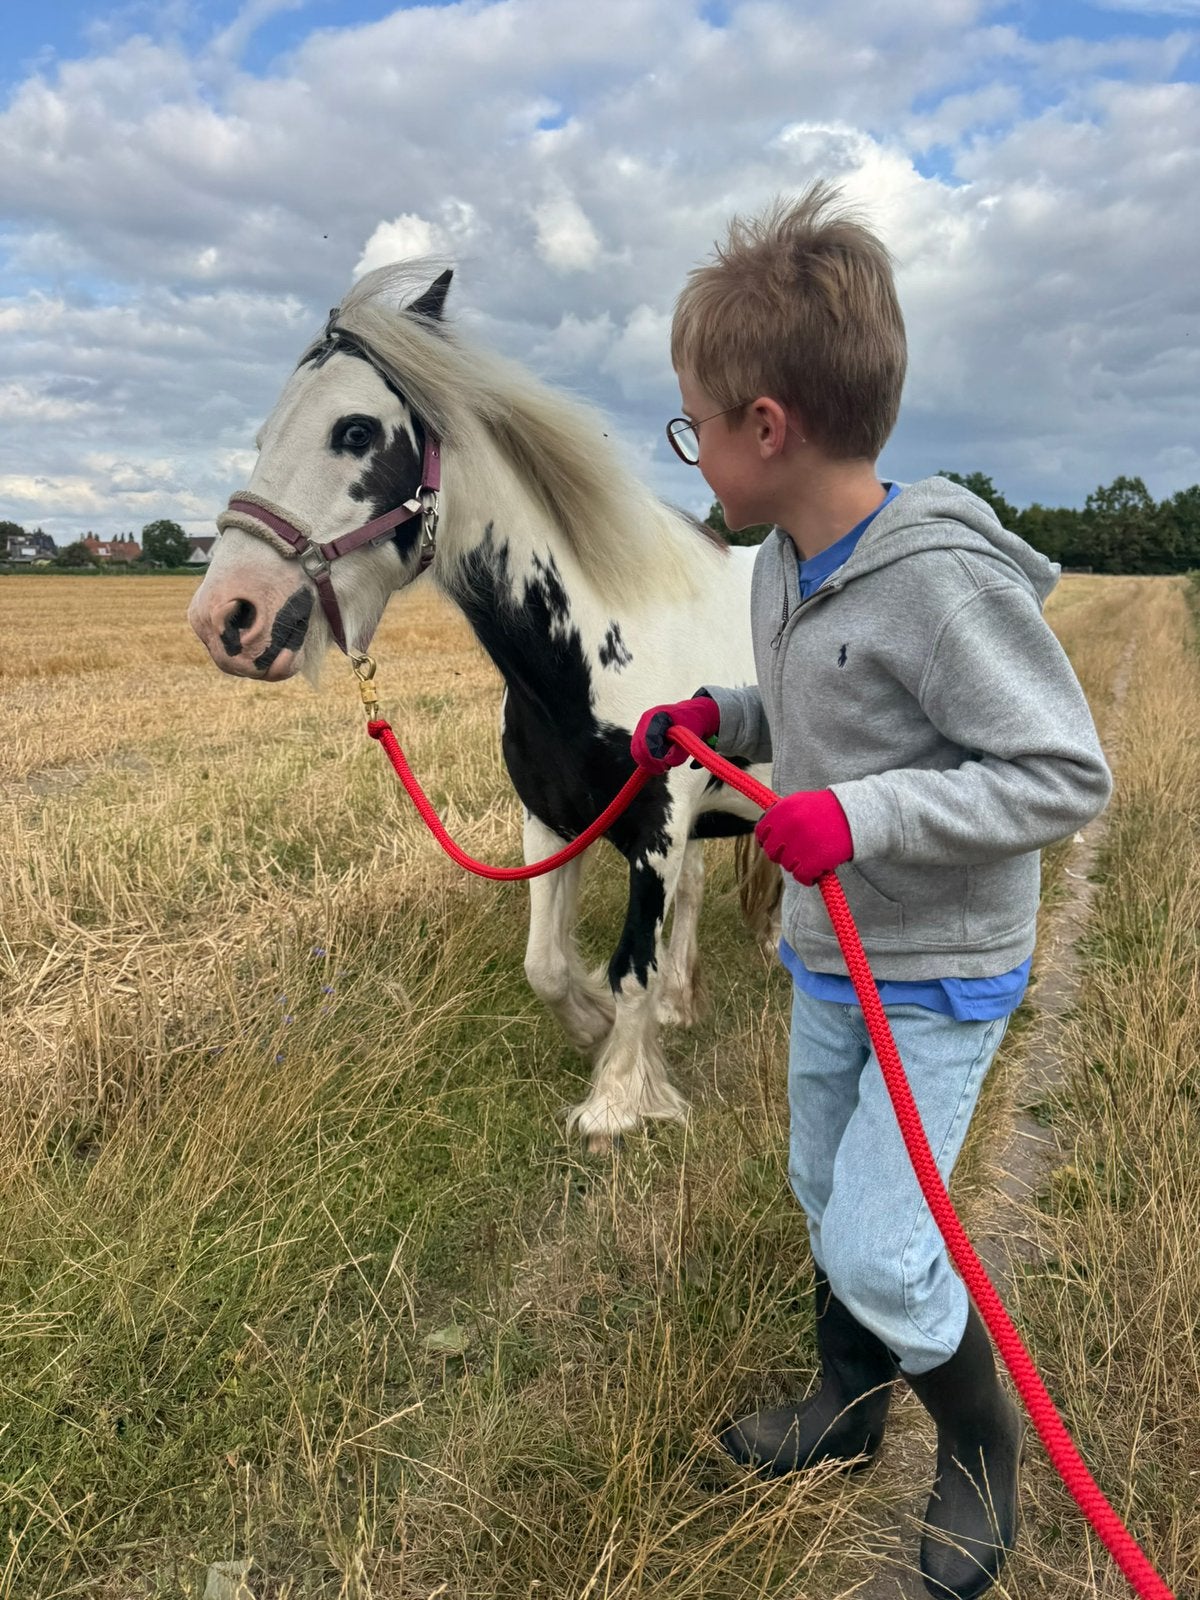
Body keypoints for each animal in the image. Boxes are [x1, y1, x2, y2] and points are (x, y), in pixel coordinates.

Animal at [188, 262, 776, 1145]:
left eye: (354, 432)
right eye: (264, 438)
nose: (227, 618)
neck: (601, 645)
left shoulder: (657, 829)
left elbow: (629, 966)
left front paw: (617, 1103)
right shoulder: (553, 820)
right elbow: (547, 964)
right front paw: (595, 1028)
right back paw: (685, 1000)